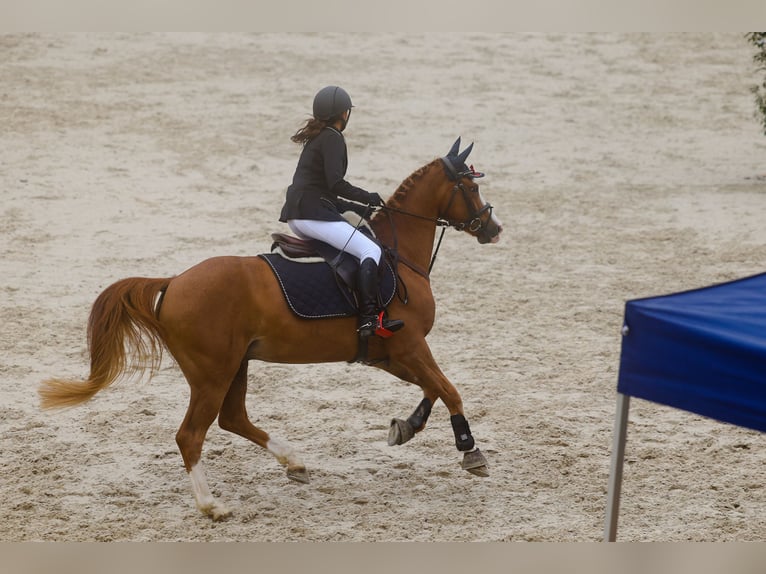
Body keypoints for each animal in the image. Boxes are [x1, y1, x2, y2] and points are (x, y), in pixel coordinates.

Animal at [37, 138, 504, 520]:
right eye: (471, 187)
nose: (493, 229)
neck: (397, 255)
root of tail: (174, 282)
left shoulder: (390, 354)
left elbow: (433, 389)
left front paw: (406, 427)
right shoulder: (409, 347)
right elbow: (450, 390)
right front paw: (470, 450)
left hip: (235, 365)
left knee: (233, 418)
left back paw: (293, 462)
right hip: (213, 373)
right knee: (191, 435)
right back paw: (212, 505)